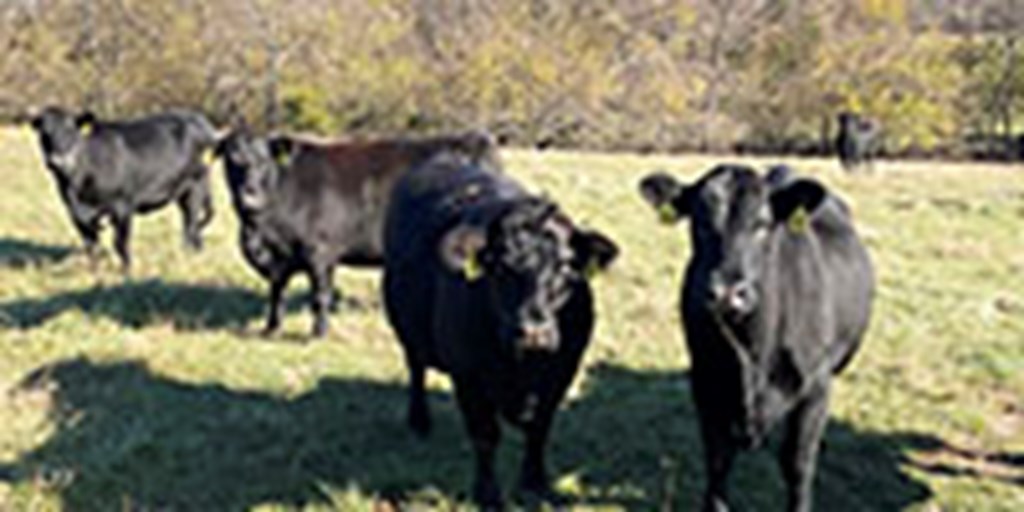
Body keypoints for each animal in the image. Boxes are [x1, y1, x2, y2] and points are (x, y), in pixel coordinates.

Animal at [29, 105, 216, 270]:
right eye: (44, 134)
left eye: (70, 131)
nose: (56, 161)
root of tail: (198, 118)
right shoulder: (75, 214)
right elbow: (91, 245)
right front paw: (95, 272)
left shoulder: (123, 206)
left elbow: (119, 242)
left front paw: (127, 271)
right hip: (183, 192)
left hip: (196, 186)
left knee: (190, 223)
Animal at [218, 128, 501, 337]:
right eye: (232, 160)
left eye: (264, 160)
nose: (249, 196)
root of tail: (474, 139)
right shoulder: (281, 260)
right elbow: (277, 293)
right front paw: (270, 328)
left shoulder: (319, 253)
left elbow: (320, 296)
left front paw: (318, 333)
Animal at [382, 149, 614, 505]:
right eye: (501, 267)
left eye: (566, 267)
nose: (533, 332)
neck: (520, 367)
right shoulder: (468, 376)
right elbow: (485, 434)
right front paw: (487, 493)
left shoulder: (562, 371)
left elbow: (540, 429)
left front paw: (534, 483)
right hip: (405, 328)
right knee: (416, 369)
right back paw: (419, 421)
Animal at [638, 164, 872, 512]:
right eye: (699, 220)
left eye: (762, 224)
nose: (726, 293)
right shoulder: (704, 382)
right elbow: (718, 460)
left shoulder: (816, 387)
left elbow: (797, 463)